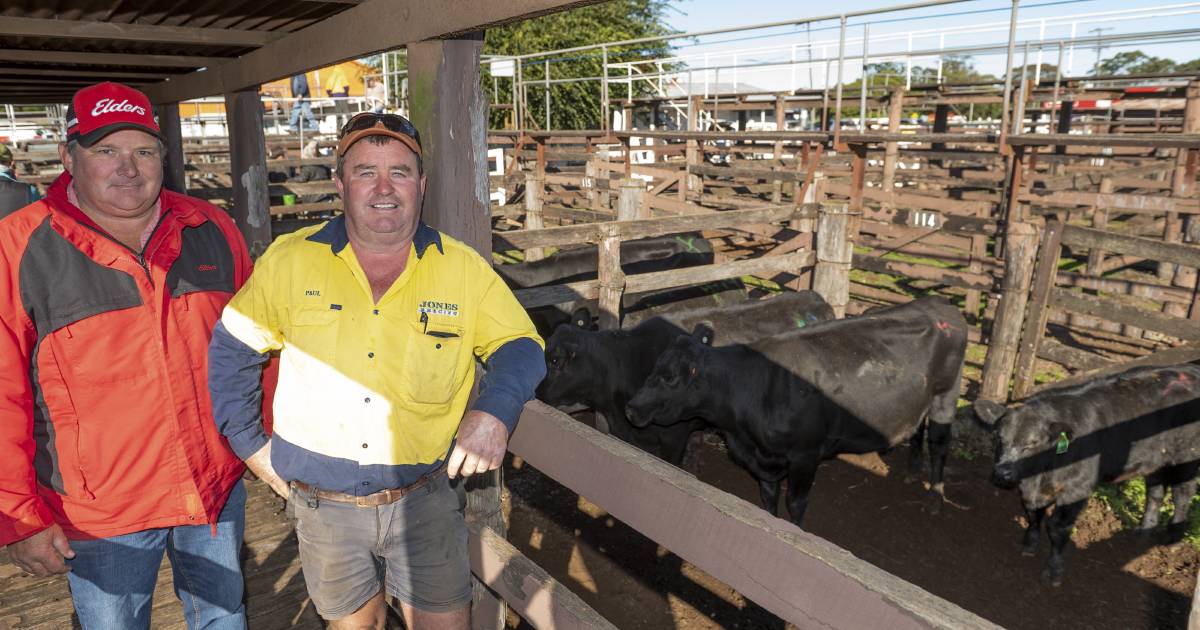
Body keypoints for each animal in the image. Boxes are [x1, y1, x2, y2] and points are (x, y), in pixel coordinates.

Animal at [628, 297, 964, 523]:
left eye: (670, 377)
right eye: (654, 367)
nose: (632, 408)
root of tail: (940, 303)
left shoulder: (805, 455)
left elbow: (796, 503)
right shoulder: (765, 459)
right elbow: (768, 496)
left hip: (946, 396)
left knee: (939, 442)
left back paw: (935, 496)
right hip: (920, 399)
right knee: (918, 428)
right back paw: (912, 470)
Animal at [974, 360, 1200, 588]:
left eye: (1032, 444)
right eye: (999, 437)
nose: (1002, 473)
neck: (1039, 476)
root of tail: (1191, 370)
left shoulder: (1077, 489)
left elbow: (1057, 528)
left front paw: (1053, 572)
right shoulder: (1029, 489)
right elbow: (1032, 514)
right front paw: (1030, 544)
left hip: (1187, 457)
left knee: (1183, 493)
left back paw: (1173, 539)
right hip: (1155, 458)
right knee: (1155, 492)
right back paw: (1144, 531)